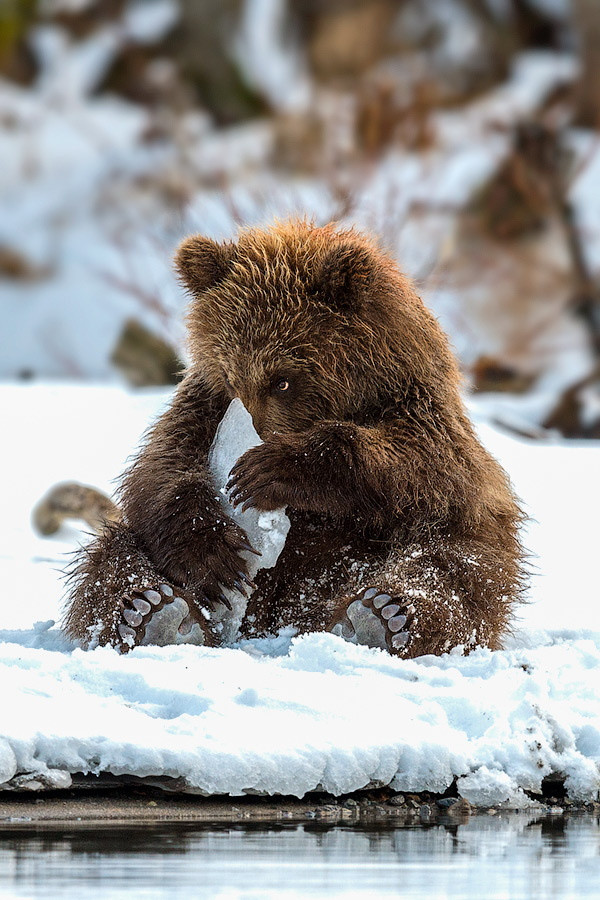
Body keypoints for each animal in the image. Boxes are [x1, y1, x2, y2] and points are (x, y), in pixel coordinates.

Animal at [64, 221, 524, 656]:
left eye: (283, 381)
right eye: (232, 376)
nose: (252, 440)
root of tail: (285, 616)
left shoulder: (417, 405)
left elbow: (428, 463)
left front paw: (270, 469)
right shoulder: (205, 405)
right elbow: (162, 467)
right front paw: (215, 550)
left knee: (455, 564)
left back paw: (383, 614)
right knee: (112, 555)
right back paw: (153, 610)